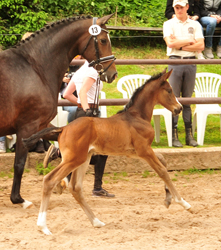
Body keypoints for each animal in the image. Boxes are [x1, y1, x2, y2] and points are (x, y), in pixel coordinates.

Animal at [0, 13, 117, 209]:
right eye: (102, 40)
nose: (112, 74)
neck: (34, 67)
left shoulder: (40, 124)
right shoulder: (26, 126)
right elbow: (19, 164)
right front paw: (18, 199)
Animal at [22, 68, 192, 234]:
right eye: (169, 90)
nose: (179, 108)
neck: (137, 116)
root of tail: (63, 128)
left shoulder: (137, 152)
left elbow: (163, 160)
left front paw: (168, 199)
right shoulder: (144, 150)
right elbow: (162, 171)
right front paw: (183, 203)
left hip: (83, 159)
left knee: (76, 187)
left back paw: (96, 221)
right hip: (74, 159)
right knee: (49, 180)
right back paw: (43, 226)